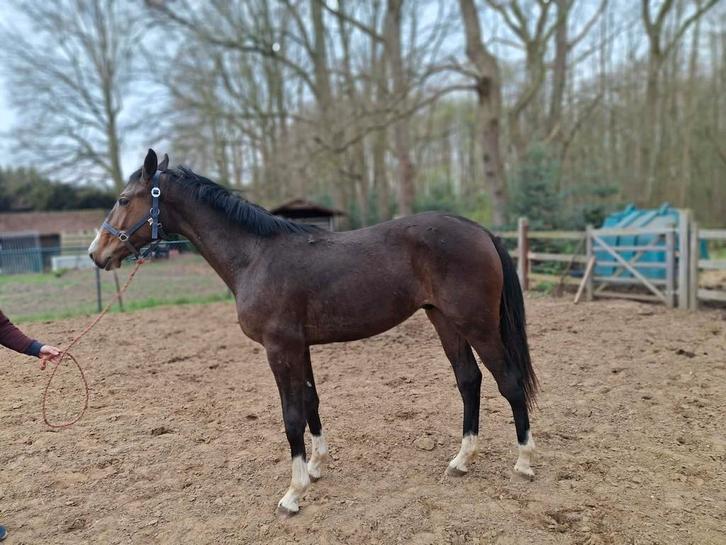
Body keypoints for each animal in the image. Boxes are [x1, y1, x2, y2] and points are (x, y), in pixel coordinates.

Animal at [89, 149, 538, 515]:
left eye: (124, 200)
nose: (97, 253)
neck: (256, 256)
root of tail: (479, 231)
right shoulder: (299, 346)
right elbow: (311, 402)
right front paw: (317, 467)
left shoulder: (279, 348)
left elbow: (290, 416)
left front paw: (294, 492)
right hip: (443, 319)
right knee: (469, 380)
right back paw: (462, 460)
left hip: (477, 324)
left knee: (509, 381)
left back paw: (524, 461)